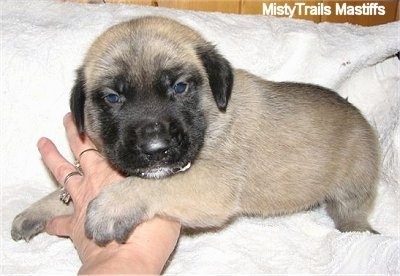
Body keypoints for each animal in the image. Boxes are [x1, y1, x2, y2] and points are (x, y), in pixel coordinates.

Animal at [10, 15, 380, 244]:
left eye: (180, 87)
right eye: (113, 97)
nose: (156, 149)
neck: (214, 115)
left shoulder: (209, 183)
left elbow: (155, 185)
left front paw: (112, 205)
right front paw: (38, 210)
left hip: (354, 183)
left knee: (351, 213)